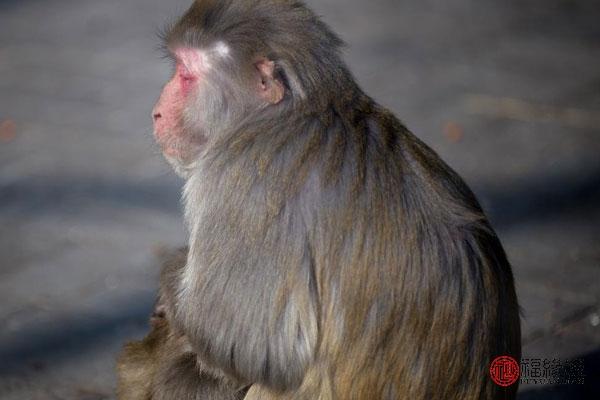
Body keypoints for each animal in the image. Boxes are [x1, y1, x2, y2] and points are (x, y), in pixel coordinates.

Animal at [137, 0, 520, 398]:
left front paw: (171, 276)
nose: (156, 112)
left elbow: (243, 343)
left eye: (185, 75)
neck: (287, 114)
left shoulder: (241, 178)